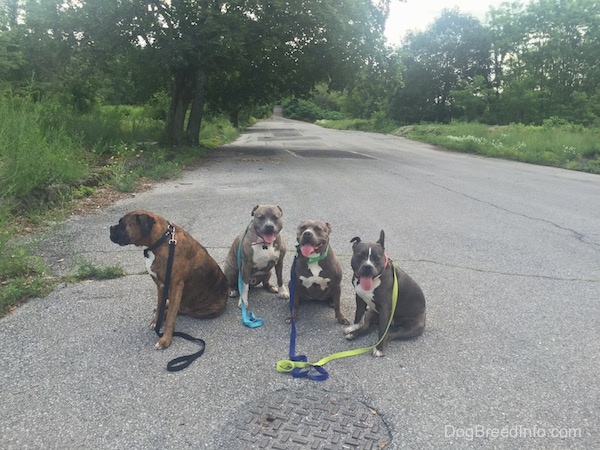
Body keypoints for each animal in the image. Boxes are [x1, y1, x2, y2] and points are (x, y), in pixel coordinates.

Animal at [109, 209, 229, 350]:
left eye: (122, 224)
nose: (110, 228)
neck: (162, 241)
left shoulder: (176, 286)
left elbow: (172, 315)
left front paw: (165, 339)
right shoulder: (161, 286)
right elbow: (160, 304)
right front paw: (157, 320)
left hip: (204, 311)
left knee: (181, 310)